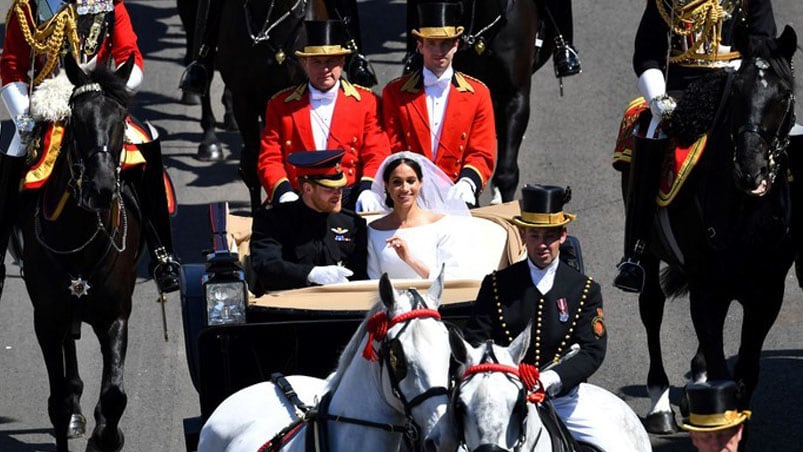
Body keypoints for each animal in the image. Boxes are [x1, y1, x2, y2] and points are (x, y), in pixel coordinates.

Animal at [18, 55, 144, 452]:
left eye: (121, 119)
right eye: (77, 122)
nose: (101, 189)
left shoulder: (116, 316)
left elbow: (115, 395)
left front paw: (107, 436)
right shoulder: (46, 318)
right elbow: (57, 401)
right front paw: (73, 416)